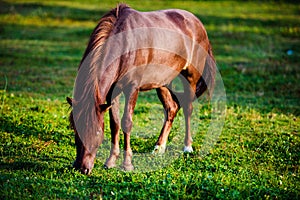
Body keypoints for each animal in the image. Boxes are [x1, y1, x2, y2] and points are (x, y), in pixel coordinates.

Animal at [67, 3, 216, 175]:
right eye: (75, 130)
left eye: (97, 132)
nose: (81, 167)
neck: (125, 45)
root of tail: (198, 24)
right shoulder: (112, 92)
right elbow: (115, 123)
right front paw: (111, 161)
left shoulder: (132, 88)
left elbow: (126, 122)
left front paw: (127, 164)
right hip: (163, 81)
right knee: (171, 108)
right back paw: (159, 147)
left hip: (190, 77)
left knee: (188, 108)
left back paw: (187, 147)